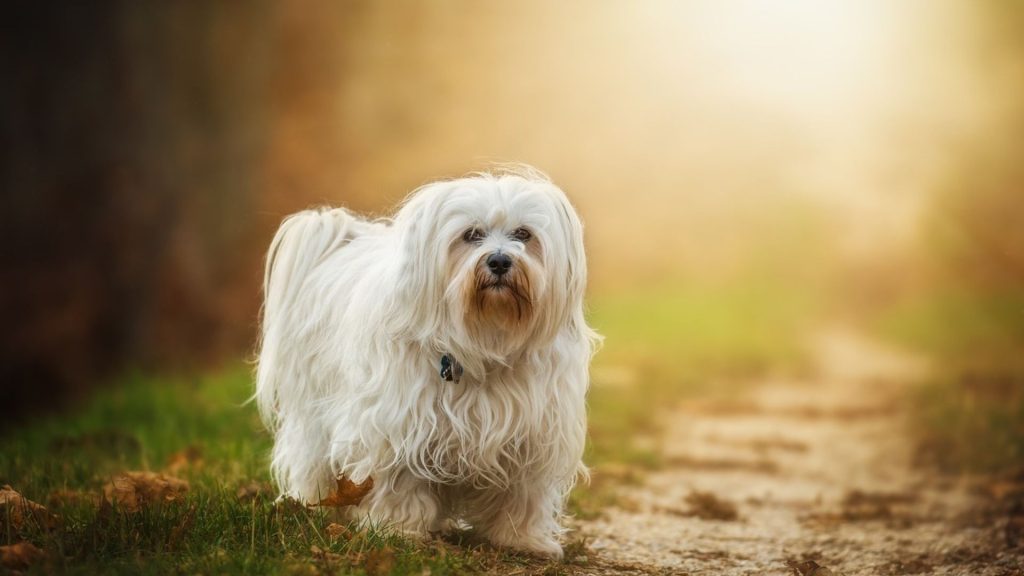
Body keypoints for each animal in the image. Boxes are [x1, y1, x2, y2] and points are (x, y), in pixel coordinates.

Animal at [252, 168, 598, 553]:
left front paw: (521, 538)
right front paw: (398, 529)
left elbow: (522, 494)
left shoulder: (532, 434)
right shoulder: (399, 426)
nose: (499, 261)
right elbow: (400, 482)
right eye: (471, 235)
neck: (485, 337)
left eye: (524, 234)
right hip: (313, 412)